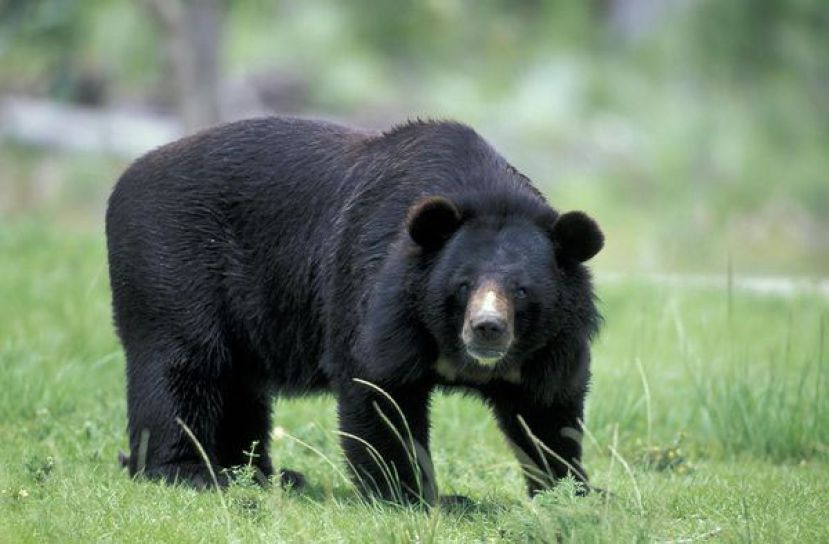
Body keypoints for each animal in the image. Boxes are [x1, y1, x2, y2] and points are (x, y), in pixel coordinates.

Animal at [106, 116, 603, 505]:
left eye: (522, 290)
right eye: (462, 285)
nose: (487, 330)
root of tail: (125, 178)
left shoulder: (550, 344)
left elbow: (547, 409)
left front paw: (575, 492)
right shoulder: (383, 295)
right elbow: (380, 387)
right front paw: (414, 495)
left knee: (238, 384)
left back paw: (262, 474)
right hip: (171, 263)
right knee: (182, 367)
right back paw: (192, 472)